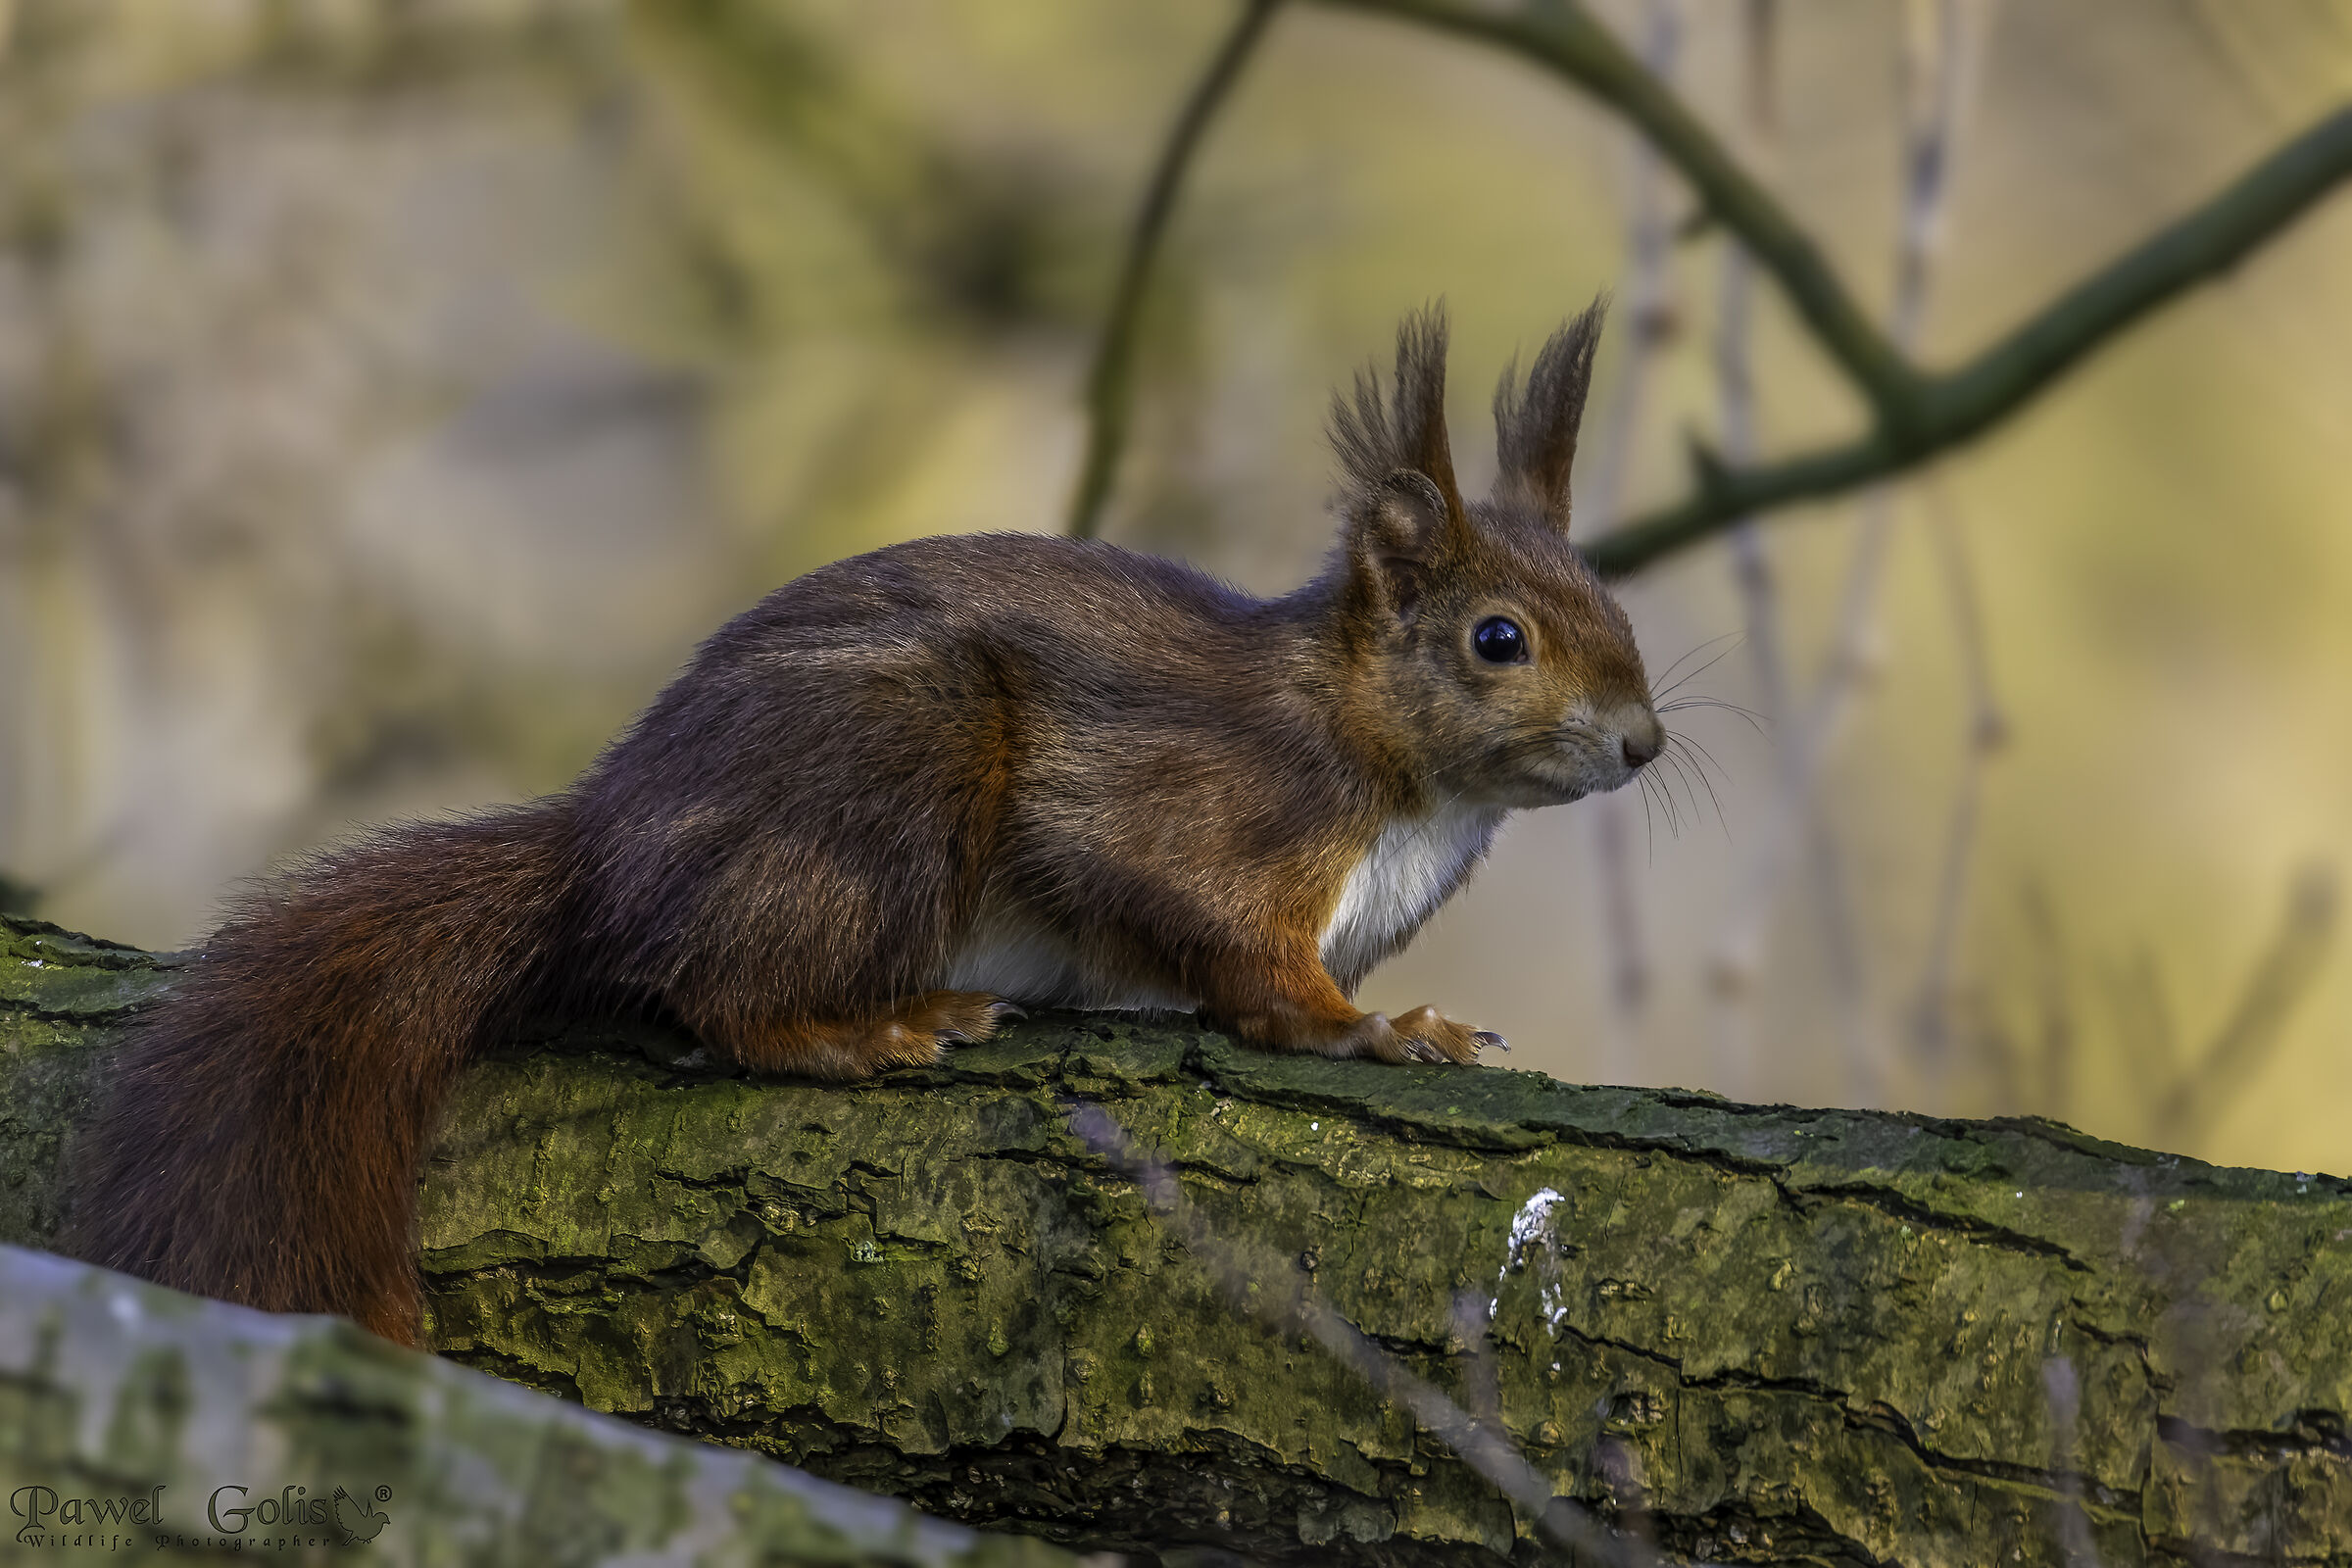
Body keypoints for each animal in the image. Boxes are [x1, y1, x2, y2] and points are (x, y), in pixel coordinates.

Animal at [71, 302, 1661, 1347]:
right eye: (1499, 639)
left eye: (1615, 603)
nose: (1645, 740)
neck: (1405, 787)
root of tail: (604, 847)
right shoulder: (1209, 817)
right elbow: (1234, 959)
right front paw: (1381, 1030)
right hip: (889, 778)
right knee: (719, 993)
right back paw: (867, 1030)